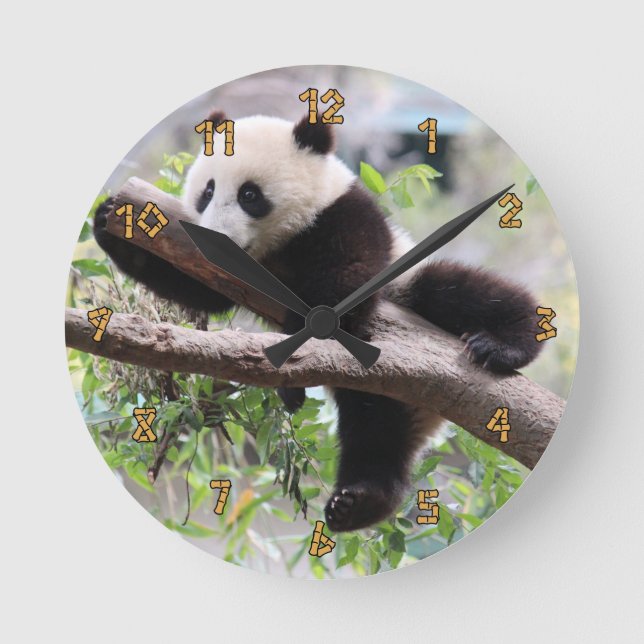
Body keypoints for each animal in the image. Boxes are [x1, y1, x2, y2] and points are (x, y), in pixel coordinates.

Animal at [94, 111, 542, 532]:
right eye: (207, 191)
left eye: (249, 194)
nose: (216, 240)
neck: (278, 245)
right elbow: (196, 286)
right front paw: (110, 222)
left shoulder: (344, 216)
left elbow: (347, 278)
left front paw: (295, 355)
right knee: (375, 433)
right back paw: (359, 502)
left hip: (410, 288)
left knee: (458, 289)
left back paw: (503, 345)